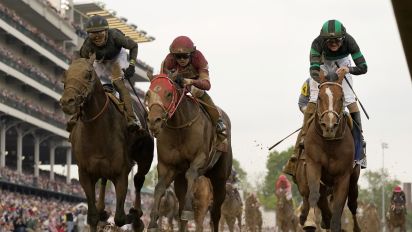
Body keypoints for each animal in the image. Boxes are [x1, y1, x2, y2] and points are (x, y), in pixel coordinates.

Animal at [58, 56, 154, 232]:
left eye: (88, 74)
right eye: (65, 74)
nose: (67, 102)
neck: (97, 131)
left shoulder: (121, 173)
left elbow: (120, 217)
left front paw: (135, 216)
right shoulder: (85, 174)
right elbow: (93, 216)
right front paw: (101, 213)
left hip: (146, 157)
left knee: (138, 180)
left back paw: (137, 214)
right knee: (104, 181)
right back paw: (103, 208)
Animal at [145, 74, 232, 232]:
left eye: (169, 94)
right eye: (148, 94)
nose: (154, 121)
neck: (180, 128)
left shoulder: (200, 157)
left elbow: (191, 173)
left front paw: (187, 209)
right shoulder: (167, 165)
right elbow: (159, 187)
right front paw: (153, 222)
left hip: (220, 179)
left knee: (216, 213)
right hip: (180, 180)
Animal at [296, 70, 360, 232]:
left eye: (341, 97)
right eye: (319, 97)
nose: (329, 126)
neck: (330, 144)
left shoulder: (344, 176)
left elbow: (338, 209)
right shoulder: (313, 165)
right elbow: (314, 195)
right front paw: (311, 221)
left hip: (354, 178)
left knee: (352, 204)